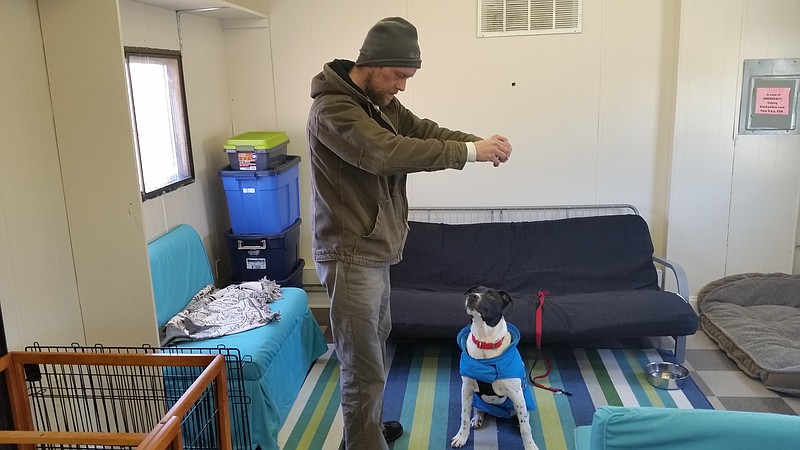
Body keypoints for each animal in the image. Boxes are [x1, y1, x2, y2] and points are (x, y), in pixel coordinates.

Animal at [450, 286, 536, 450]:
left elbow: (526, 427)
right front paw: (461, 437)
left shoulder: (516, 394)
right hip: (477, 399)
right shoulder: (466, 389)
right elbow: (464, 416)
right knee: (479, 409)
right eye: (475, 290)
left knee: (525, 417)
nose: (472, 296)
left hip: (523, 401)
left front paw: (530, 446)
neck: (485, 342)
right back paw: (477, 418)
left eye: (491, 296)